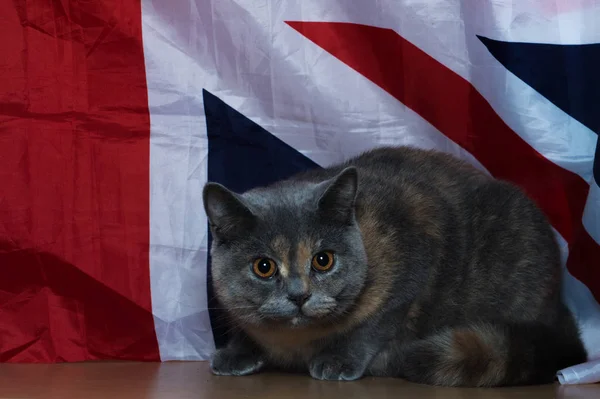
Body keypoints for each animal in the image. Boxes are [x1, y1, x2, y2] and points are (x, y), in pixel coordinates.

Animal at [204, 146, 588, 388]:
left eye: (323, 260)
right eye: (264, 267)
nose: (300, 295)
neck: (295, 341)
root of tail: (560, 309)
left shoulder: (414, 264)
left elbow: (375, 324)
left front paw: (338, 360)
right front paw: (236, 353)